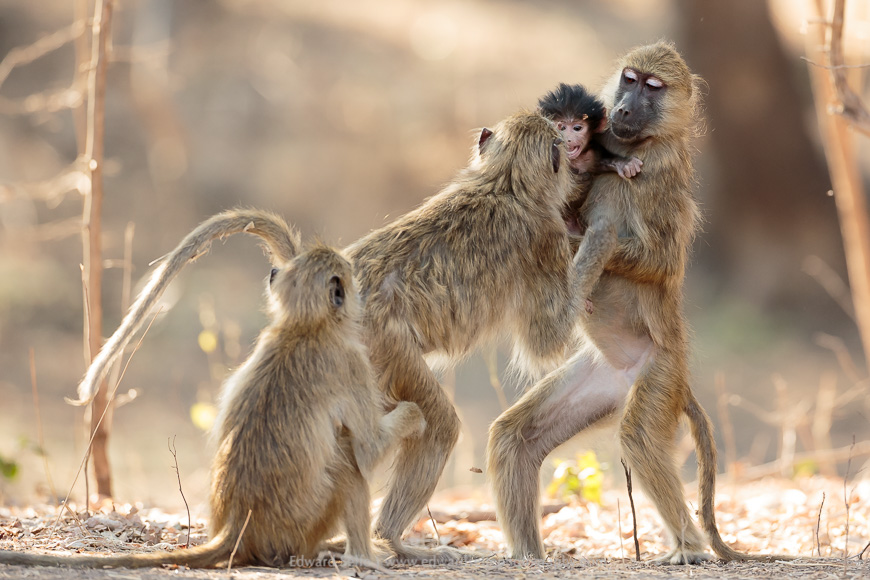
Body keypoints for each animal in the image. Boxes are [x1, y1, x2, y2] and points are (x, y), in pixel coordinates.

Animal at [0, 243, 426, 569]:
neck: (304, 325)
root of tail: (238, 529)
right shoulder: (352, 362)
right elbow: (368, 451)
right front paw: (416, 416)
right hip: (302, 525)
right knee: (348, 466)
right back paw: (363, 558)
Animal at [487, 42, 784, 564]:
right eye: (630, 79)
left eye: (652, 87)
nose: (623, 110)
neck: (641, 144)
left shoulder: (660, 178)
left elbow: (657, 262)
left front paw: (580, 235)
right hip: (602, 378)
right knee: (514, 438)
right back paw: (525, 553)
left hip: (659, 373)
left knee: (639, 438)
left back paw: (688, 548)